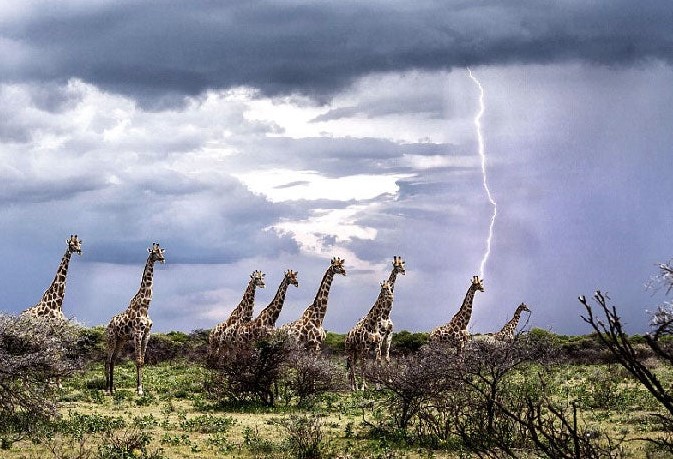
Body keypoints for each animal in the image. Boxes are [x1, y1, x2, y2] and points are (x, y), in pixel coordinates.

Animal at [107, 243, 167, 398]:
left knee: (113, 359)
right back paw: (107, 389)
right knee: (108, 359)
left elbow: (142, 361)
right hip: (112, 338)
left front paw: (140, 388)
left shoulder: (147, 334)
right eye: (153, 252)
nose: (162, 259)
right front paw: (139, 389)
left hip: (121, 340)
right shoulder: (138, 333)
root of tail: (108, 325)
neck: (145, 306)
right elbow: (138, 360)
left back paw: (113, 388)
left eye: (161, 251)